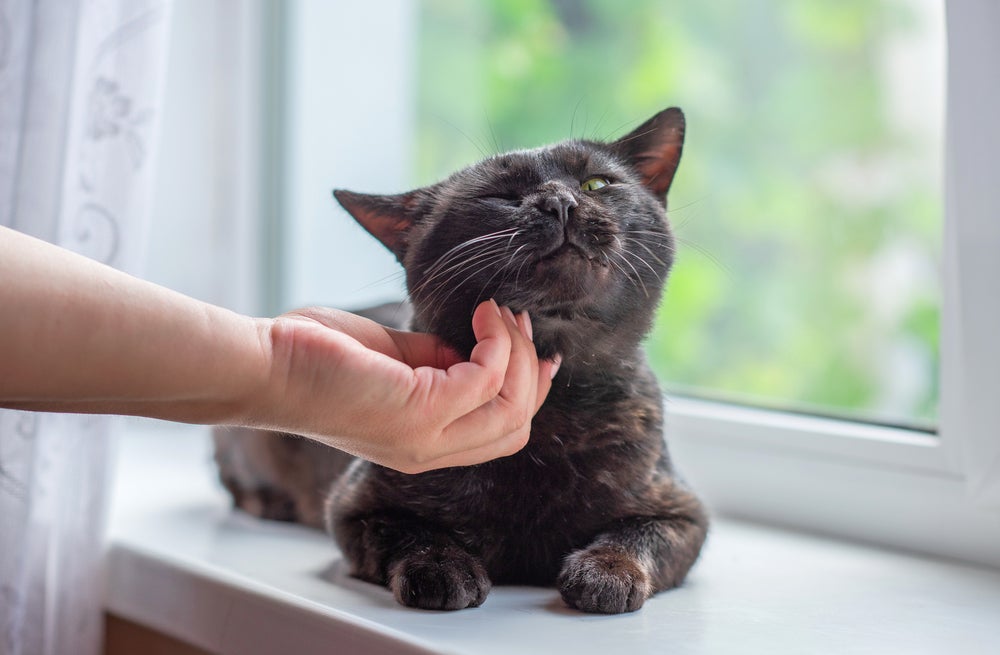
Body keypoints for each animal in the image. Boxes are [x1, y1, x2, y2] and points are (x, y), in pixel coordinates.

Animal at [215, 107, 708, 616]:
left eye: (596, 183)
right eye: (499, 197)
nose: (560, 202)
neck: (553, 410)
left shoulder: (681, 512)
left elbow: (637, 535)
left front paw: (605, 571)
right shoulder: (354, 507)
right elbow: (410, 531)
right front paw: (441, 567)